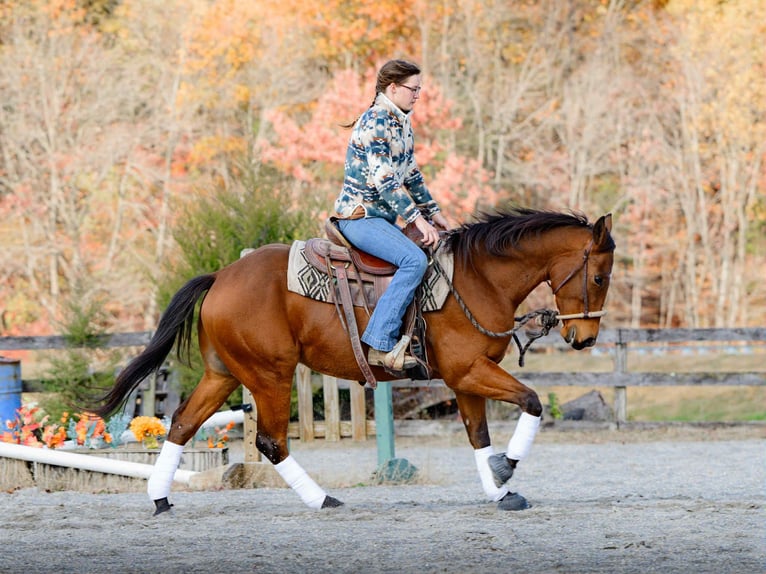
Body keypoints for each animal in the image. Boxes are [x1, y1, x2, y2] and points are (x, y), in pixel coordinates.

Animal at [94, 208, 615, 514]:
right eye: (601, 275)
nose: (585, 338)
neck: (476, 278)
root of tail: (222, 275)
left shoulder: (466, 379)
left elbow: (478, 436)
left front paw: (499, 489)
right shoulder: (470, 372)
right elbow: (532, 401)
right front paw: (506, 470)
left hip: (222, 374)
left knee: (182, 423)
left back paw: (160, 498)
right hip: (270, 375)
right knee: (270, 440)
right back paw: (322, 499)